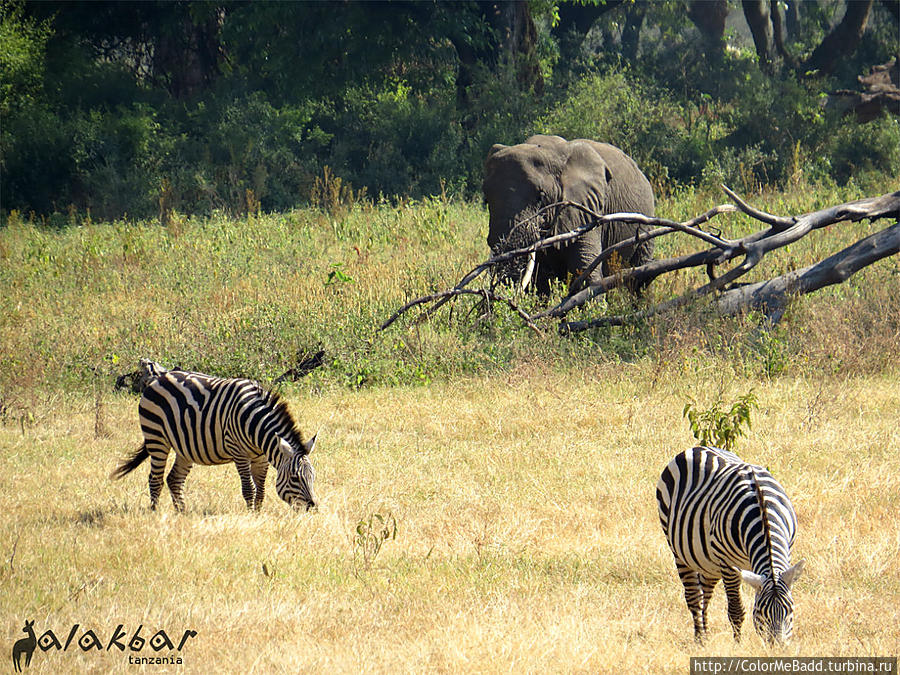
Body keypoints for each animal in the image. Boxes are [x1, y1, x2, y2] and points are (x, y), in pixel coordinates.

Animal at [111, 364, 318, 512]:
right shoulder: (238, 452)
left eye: (313, 477)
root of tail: (159, 378)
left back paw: (182, 513)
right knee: (155, 479)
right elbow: (249, 488)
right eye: (295, 478)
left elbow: (261, 489)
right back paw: (155, 513)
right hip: (156, 437)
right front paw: (250, 516)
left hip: (184, 447)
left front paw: (258, 514)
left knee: (174, 479)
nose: (312, 507)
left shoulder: (261, 457)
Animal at [482, 134, 656, 294]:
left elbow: (585, 271)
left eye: (541, 197)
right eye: (486, 198)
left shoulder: (587, 212)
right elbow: (541, 283)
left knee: (639, 279)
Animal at [652, 446, 808, 648]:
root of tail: (698, 448)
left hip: (709, 562)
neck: (763, 512)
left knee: (705, 594)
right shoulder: (728, 564)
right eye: (761, 613)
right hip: (680, 551)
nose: (777, 648)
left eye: (790, 611)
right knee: (694, 597)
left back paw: (706, 635)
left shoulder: (786, 552)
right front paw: (738, 646)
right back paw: (700, 640)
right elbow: (736, 610)